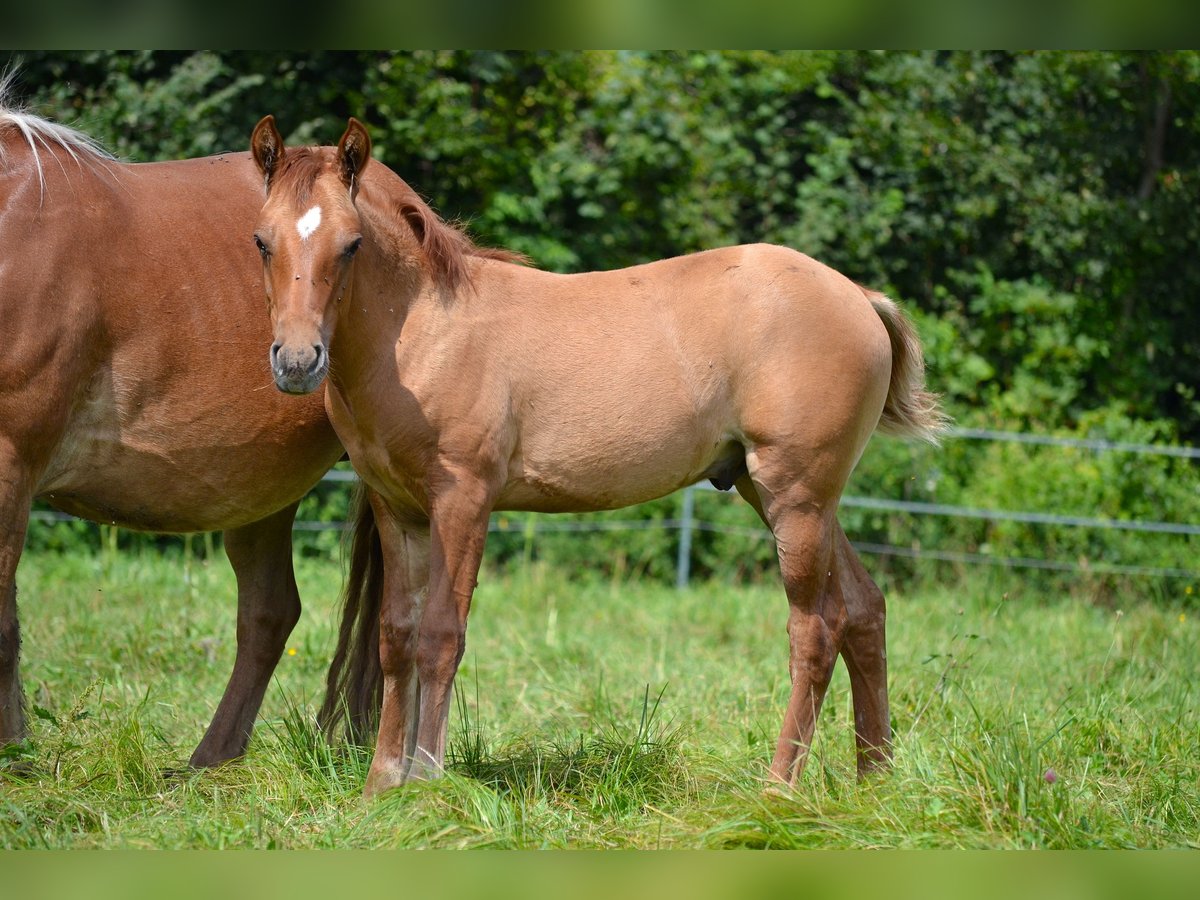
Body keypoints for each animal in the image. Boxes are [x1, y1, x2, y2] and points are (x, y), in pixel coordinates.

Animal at [0, 88, 379, 772]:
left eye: (352, 247)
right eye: (258, 244)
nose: (298, 359)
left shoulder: (11, 459)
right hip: (261, 491)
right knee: (268, 616)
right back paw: (212, 759)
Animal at [250, 116, 945, 801]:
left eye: (351, 244)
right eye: (262, 241)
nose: (297, 361)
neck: (427, 331)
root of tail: (858, 295)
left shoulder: (464, 501)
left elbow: (441, 636)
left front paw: (426, 782)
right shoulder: (399, 509)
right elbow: (396, 637)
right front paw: (381, 786)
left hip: (796, 497)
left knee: (817, 627)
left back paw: (777, 789)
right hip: (784, 494)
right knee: (864, 610)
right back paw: (875, 782)